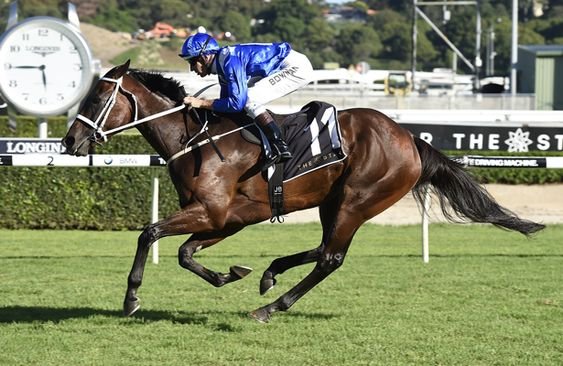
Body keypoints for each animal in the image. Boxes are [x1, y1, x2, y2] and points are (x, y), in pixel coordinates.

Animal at [59, 60, 544, 324]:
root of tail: (410, 138)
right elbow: (184, 253)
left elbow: (149, 234)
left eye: (96, 98)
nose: (68, 142)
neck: (193, 140)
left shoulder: (213, 213)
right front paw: (229, 274)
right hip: (334, 201)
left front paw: (131, 298)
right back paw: (270, 273)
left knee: (331, 257)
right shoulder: (228, 219)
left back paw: (272, 306)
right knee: (325, 248)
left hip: (358, 200)